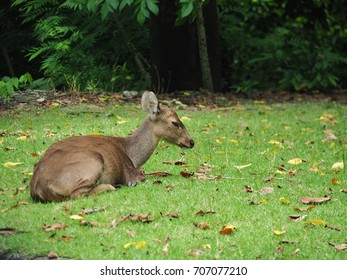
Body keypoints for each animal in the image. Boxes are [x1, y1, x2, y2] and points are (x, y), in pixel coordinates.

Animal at [29, 91, 194, 202]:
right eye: (175, 123)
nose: (191, 142)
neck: (130, 153)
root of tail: (39, 187)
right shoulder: (131, 172)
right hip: (91, 162)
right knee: (77, 195)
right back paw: (113, 186)